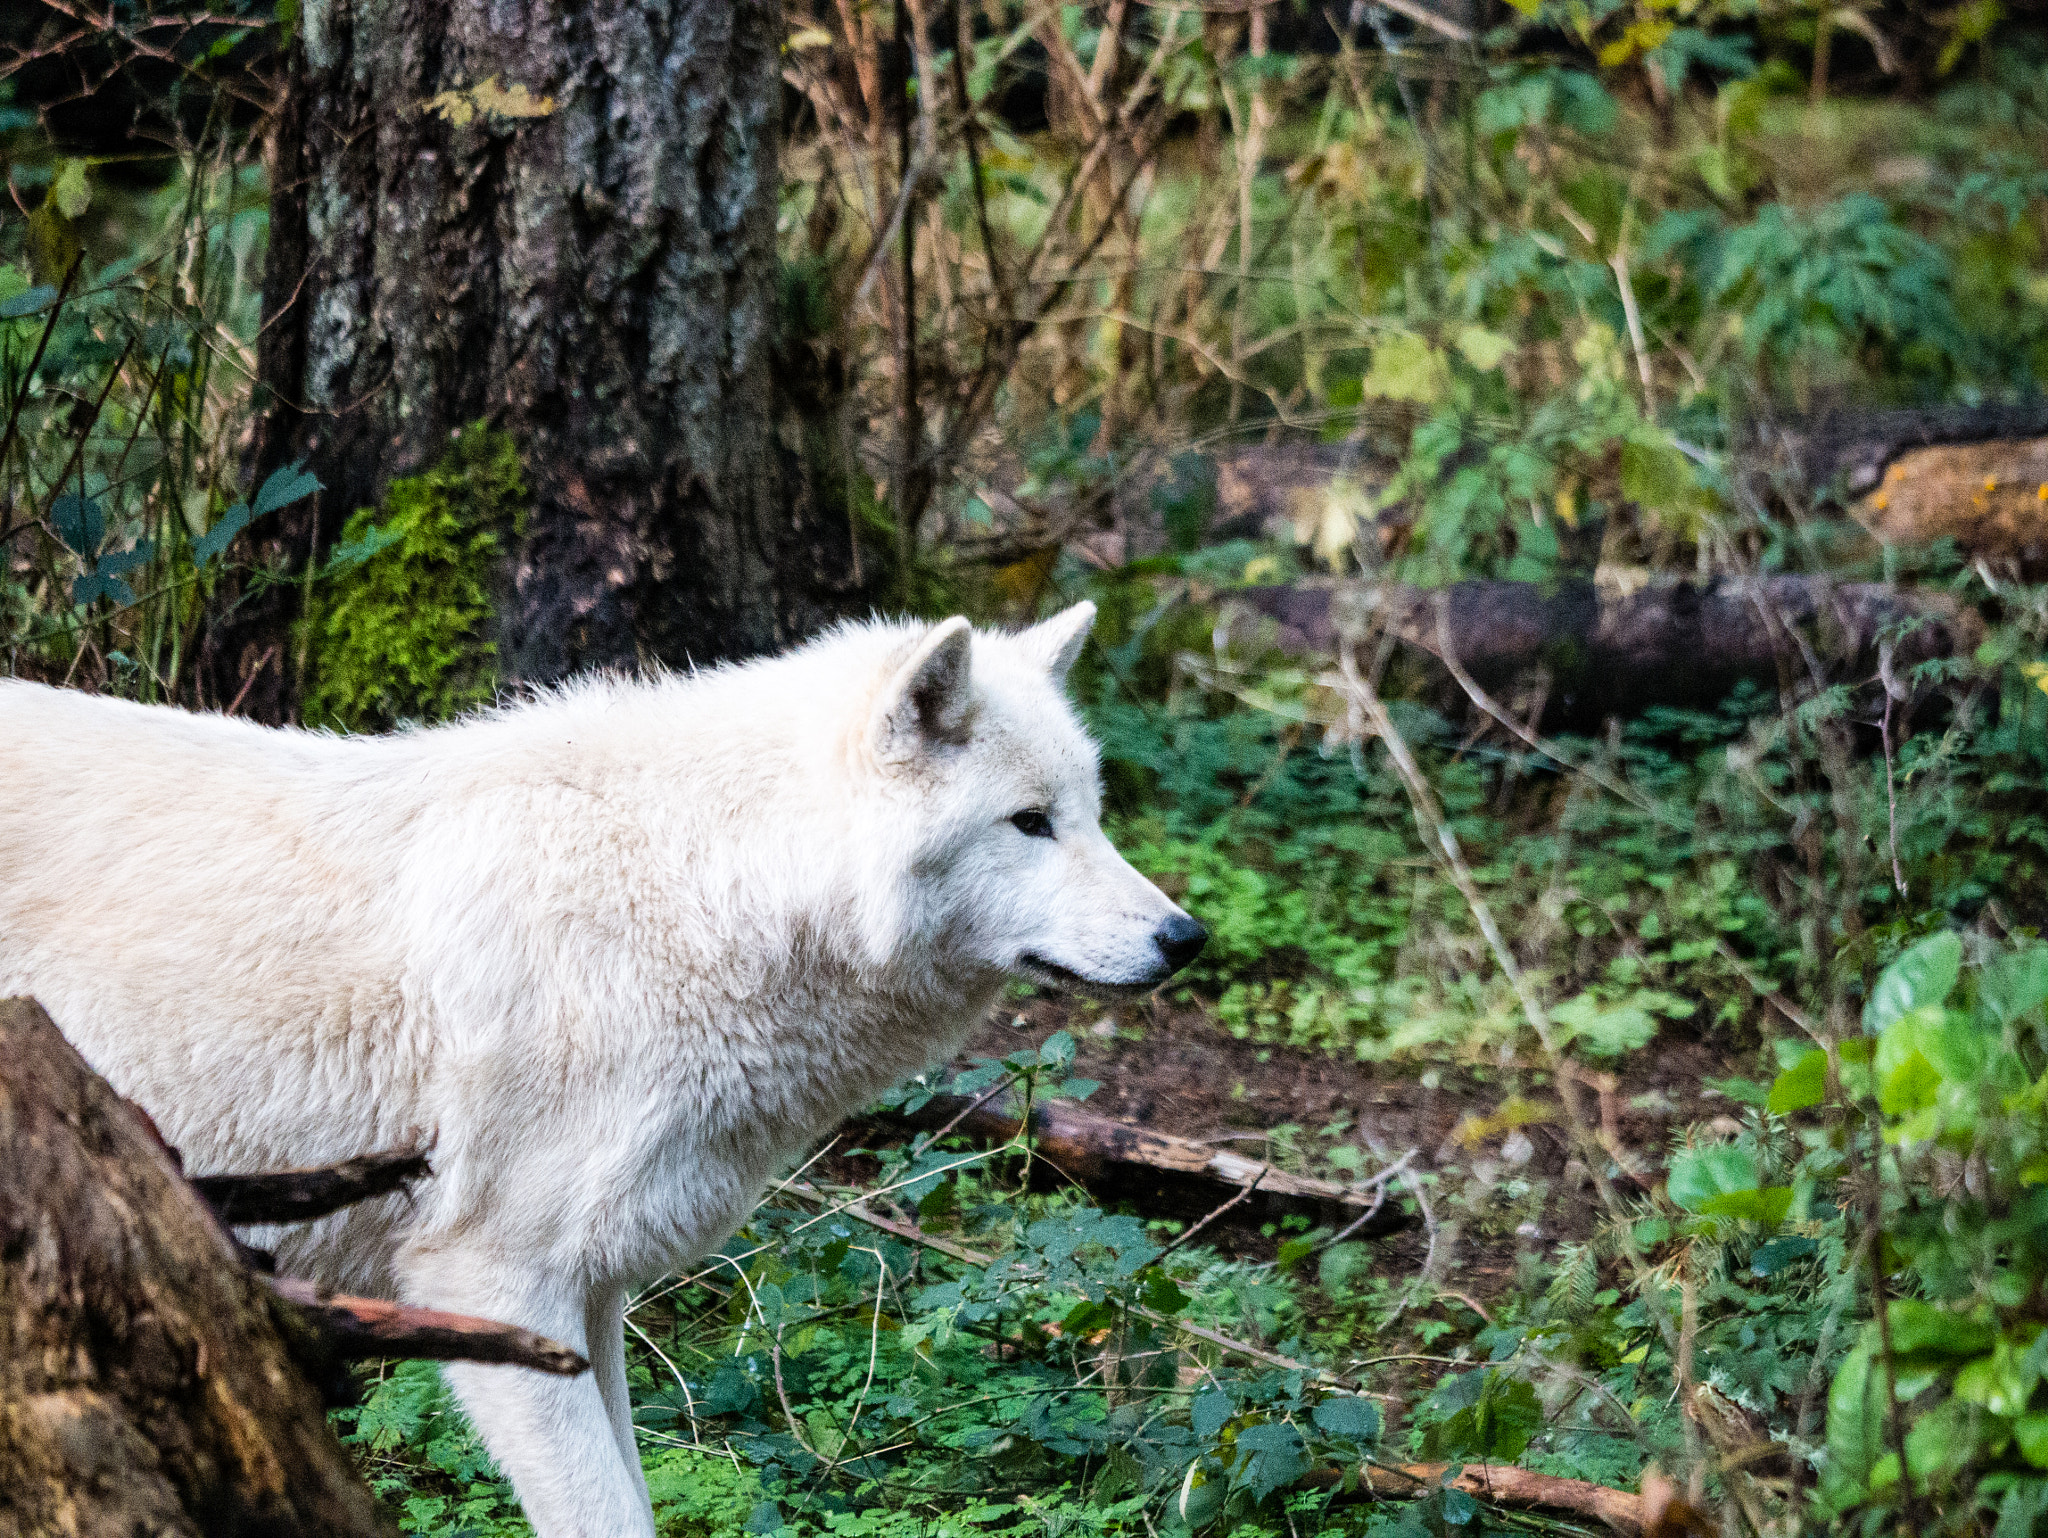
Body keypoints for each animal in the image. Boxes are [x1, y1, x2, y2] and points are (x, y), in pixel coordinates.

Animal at [0, 601, 1204, 1537]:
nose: (1183, 937)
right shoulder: (486, 1283)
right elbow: (605, 1514)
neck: (700, 895)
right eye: (1028, 823)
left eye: (1091, 815)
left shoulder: (591, 1294)